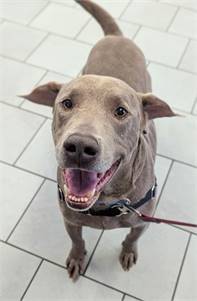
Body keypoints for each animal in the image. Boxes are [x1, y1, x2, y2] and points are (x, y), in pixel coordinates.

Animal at [22, 0, 176, 282]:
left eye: (121, 111)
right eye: (66, 103)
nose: (80, 147)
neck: (106, 201)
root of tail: (115, 36)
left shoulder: (143, 221)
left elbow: (132, 238)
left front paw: (128, 252)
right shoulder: (70, 220)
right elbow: (77, 241)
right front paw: (77, 258)